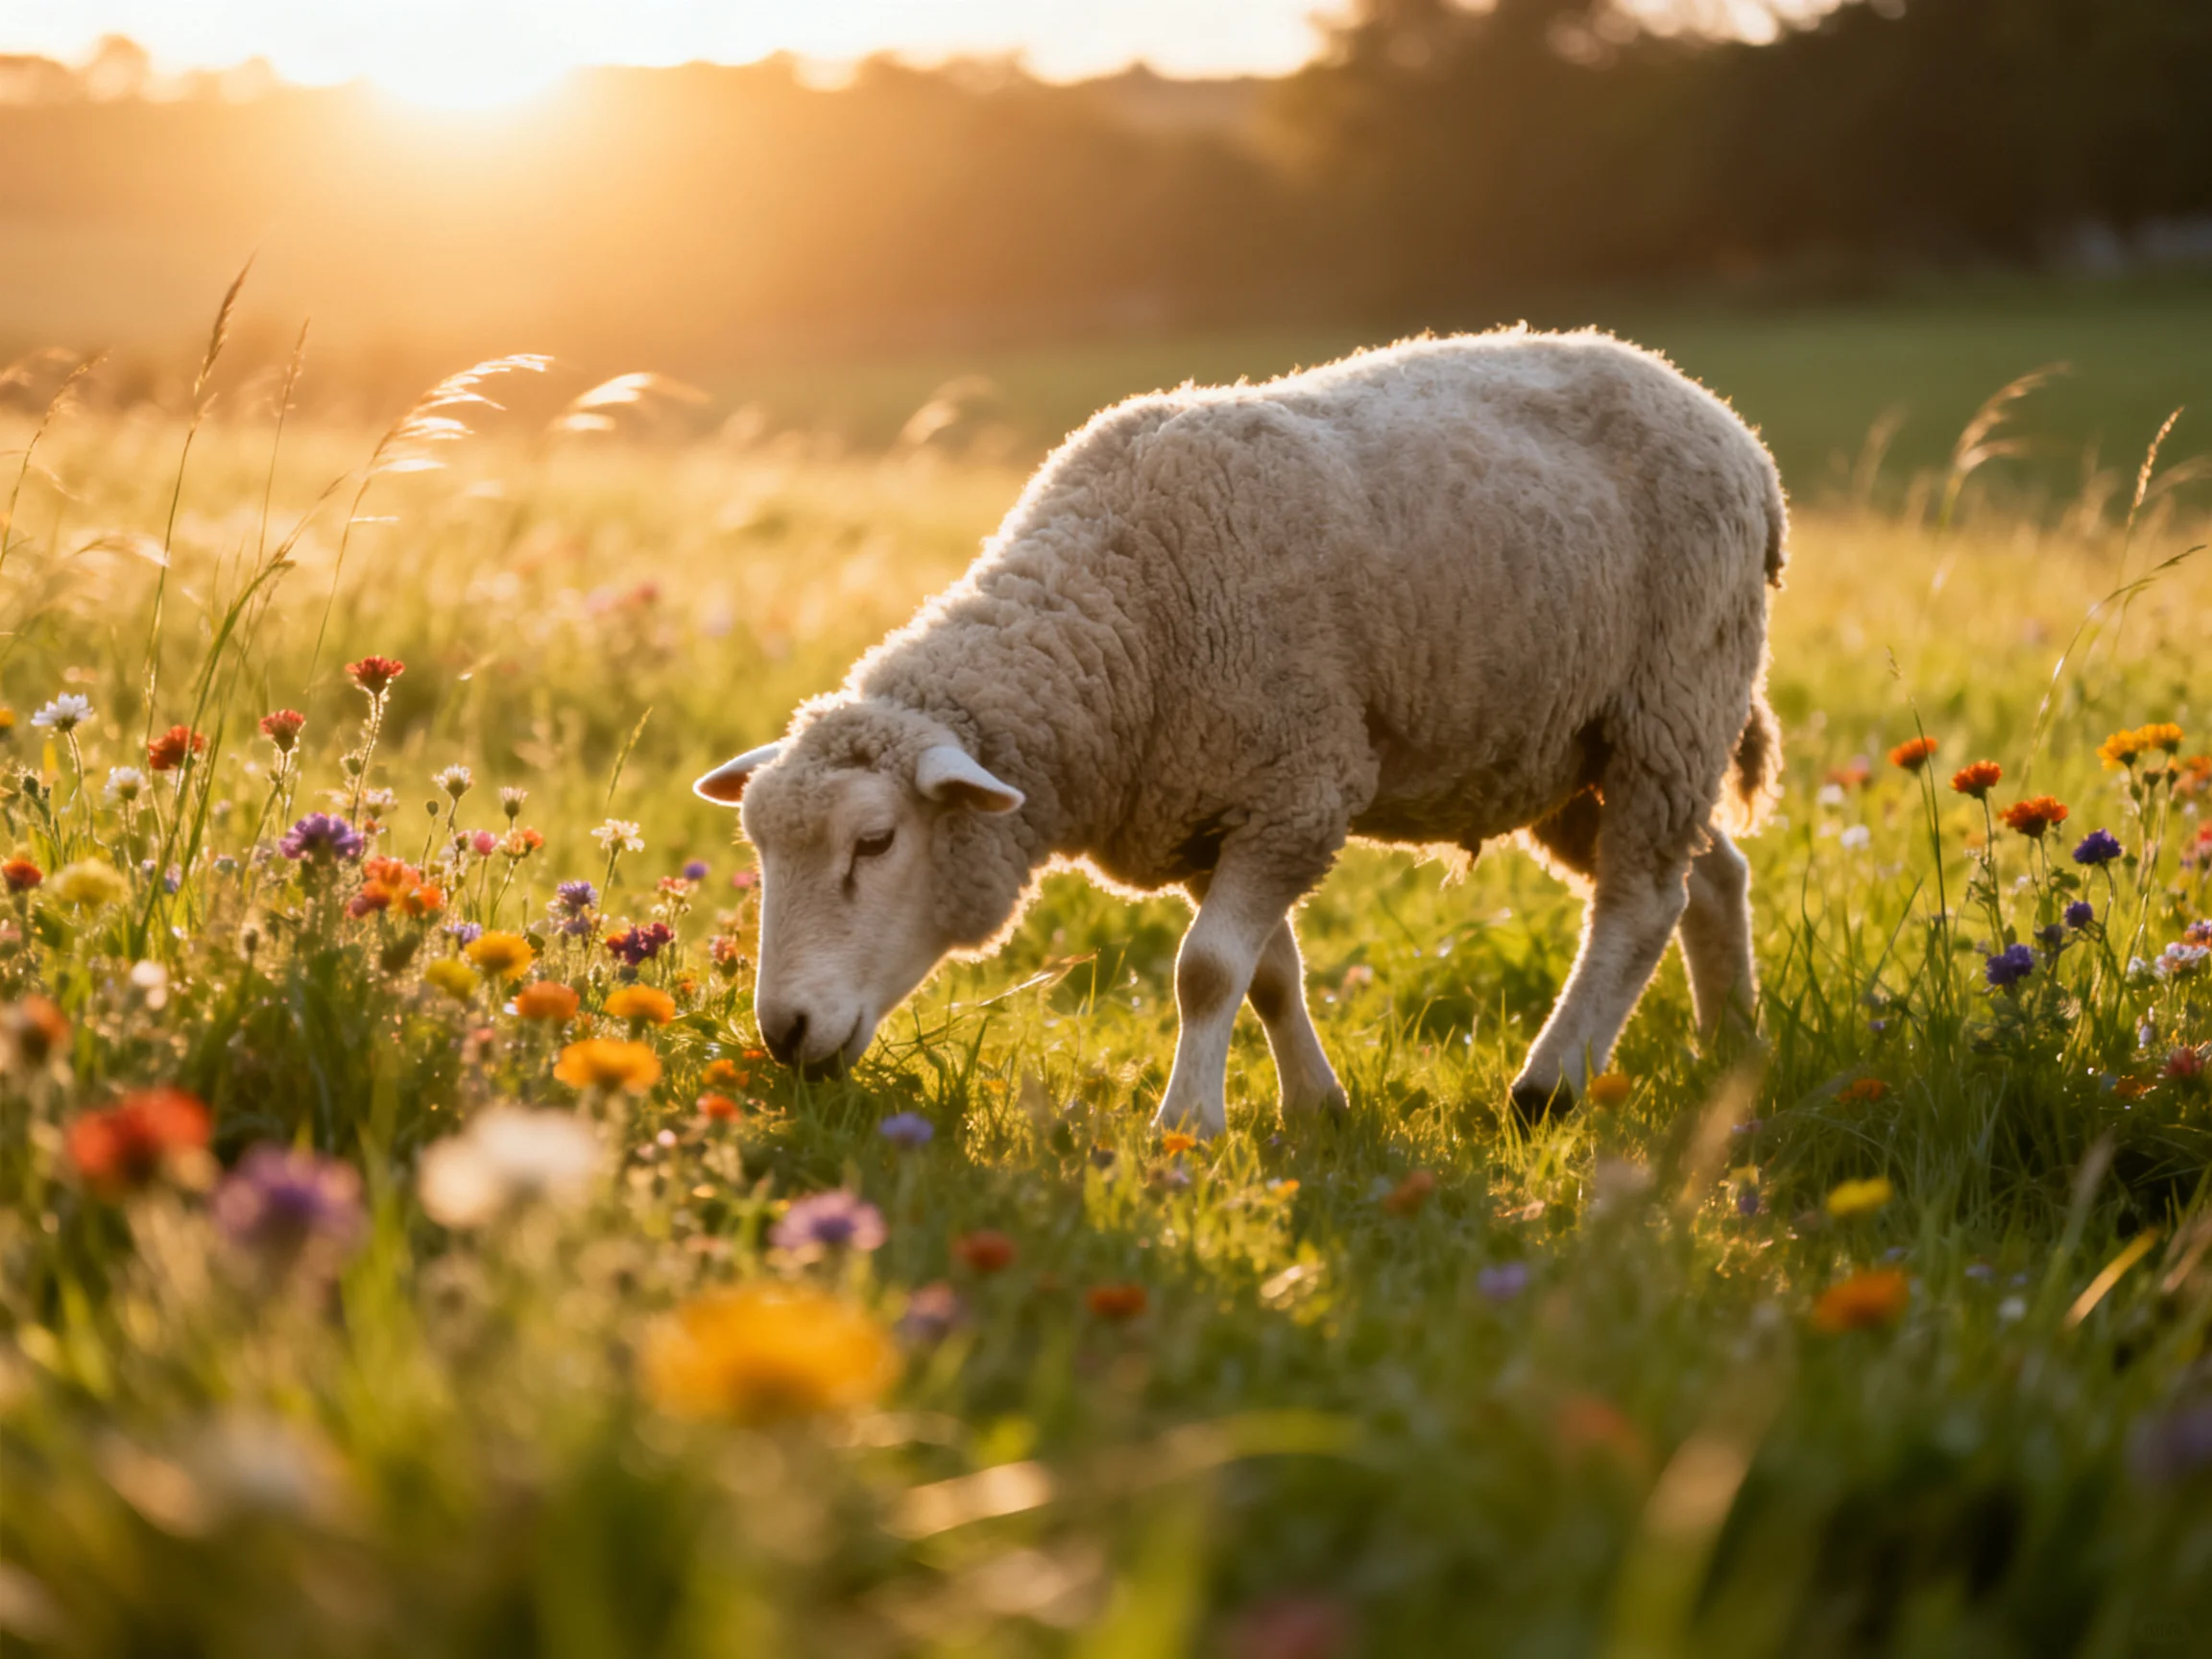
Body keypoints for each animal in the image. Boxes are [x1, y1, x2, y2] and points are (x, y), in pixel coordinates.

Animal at [695, 329, 1786, 1136]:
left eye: (875, 843)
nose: (783, 1033)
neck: (1123, 612)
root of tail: (1734, 429)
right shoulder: (1207, 811)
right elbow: (1266, 972)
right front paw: (1317, 1106)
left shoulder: (1296, 789)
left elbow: (1204, 970)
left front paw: (1188, 1125)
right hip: (1570, 751)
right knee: (1709, 874)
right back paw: (1731, 1048)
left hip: (1673, 695)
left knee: (1639, 901)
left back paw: (1550, 1086)